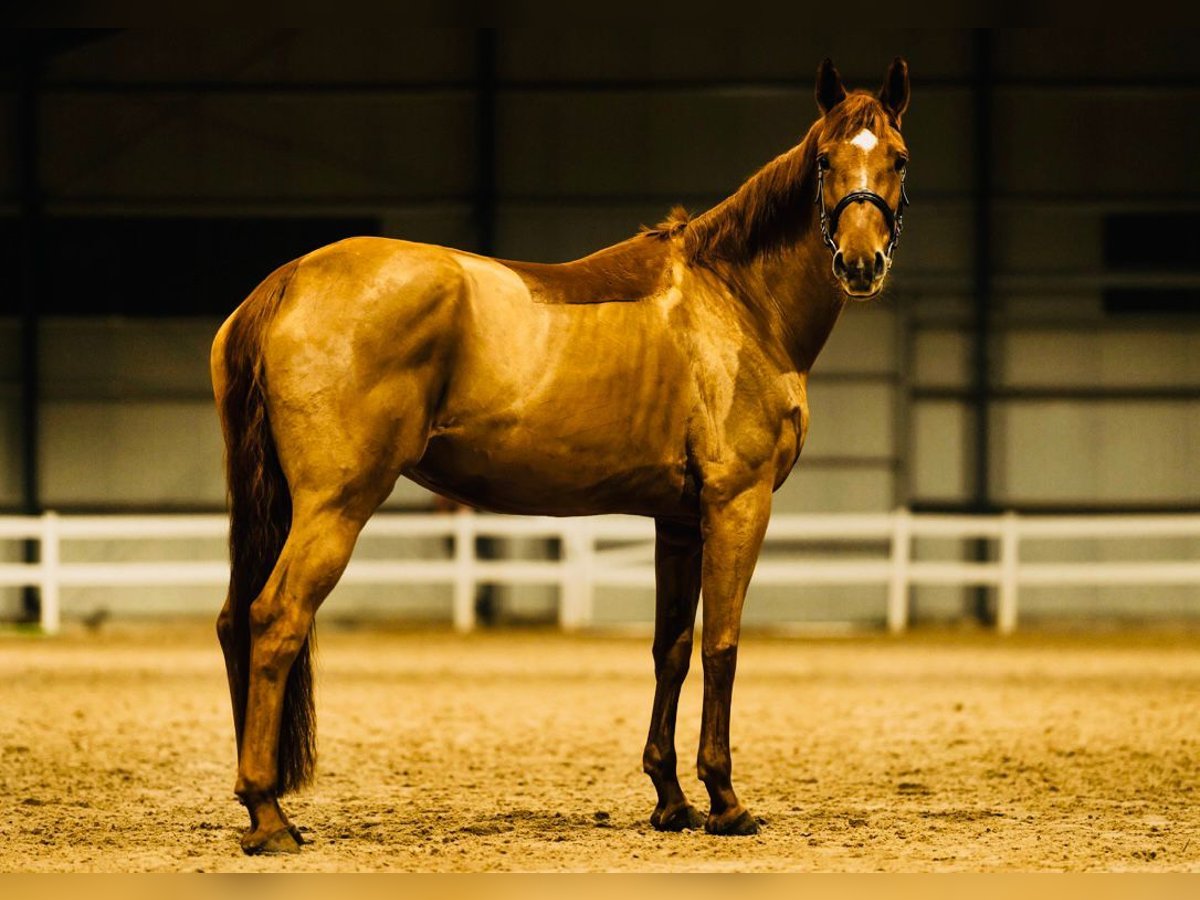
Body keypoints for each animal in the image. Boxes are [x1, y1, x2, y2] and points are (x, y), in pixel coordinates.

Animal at [213, 56, 907, 854]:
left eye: (898, 158)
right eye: (825, 160)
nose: (862, 263)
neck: (734, 300)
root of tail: (290, 277)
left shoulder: (678, 520)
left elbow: (671, 647)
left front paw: (671, 800)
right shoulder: (738, 503)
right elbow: (722, 646)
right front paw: (726, 802)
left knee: (233, 621)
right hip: (335, 506)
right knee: (276, 620)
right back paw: (268, 815)